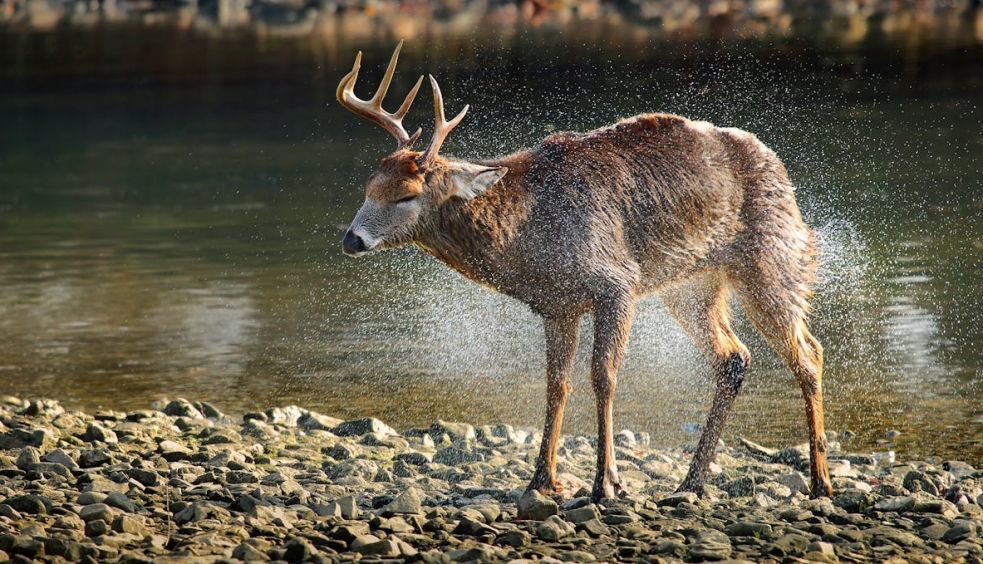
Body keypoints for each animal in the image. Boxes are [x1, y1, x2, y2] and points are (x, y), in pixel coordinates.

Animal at [336, 44, 832, 502]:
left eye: (407, 194)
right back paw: (689, 483)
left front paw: (606, 482)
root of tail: (778, 164)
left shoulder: (618, 282)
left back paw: (820, 481)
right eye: (368, 186)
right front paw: (541, 479)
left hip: (771, 256)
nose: (351, 240)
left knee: (809, 352)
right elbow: (557, 385)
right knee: (734, 357)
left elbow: (603, 377)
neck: (529, 237)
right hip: (692, 286)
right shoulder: (557, 306)